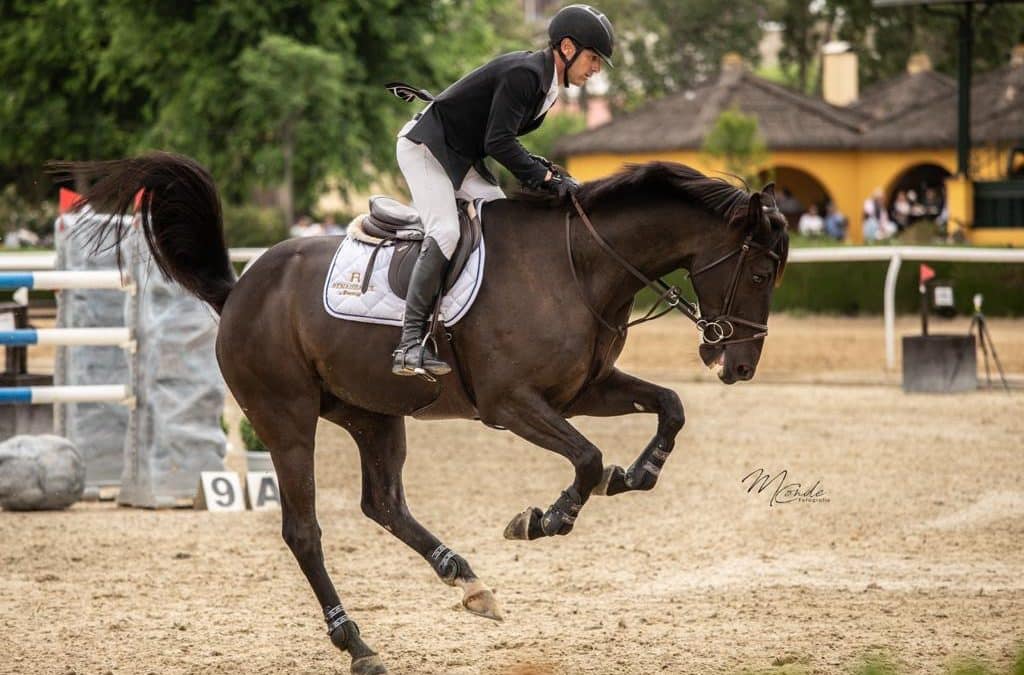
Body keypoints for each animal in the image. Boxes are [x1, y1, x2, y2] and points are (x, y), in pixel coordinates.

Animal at [54, 153, 790, 675]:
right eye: (759, 271)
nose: (738, 366)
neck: (579, 265)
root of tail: (241, 288)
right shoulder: (512, 402)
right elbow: (585, 458)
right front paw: (544, 519)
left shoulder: (584, 389)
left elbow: (669, 407)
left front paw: (637, 474)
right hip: (285, 418)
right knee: (304, 530)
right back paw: (357, 643)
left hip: (373, 415)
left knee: (383, 503)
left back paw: (467, 582)